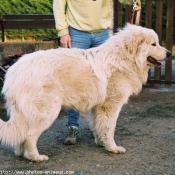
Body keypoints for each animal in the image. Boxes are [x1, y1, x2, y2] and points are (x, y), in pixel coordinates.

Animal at [0, 23, 170, 161]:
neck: (124, 58)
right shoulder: (110, 107)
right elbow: (110, 129)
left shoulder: (98, 107)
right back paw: (35, 157)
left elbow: (99, 126)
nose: (169, 53)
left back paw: (21, 154)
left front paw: (101, 143)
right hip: (47, 112)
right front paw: (113, 148)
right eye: (154, 44)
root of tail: (14, 71)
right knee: (29, 136)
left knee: (21, 134)